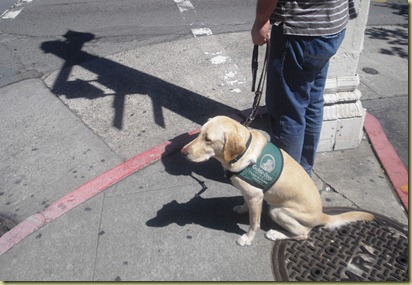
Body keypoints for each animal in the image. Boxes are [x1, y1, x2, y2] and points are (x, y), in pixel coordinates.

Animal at [180, 115, 374, 244]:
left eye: (208, 140)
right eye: (199, 134)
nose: (183, 151)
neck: (243, 153)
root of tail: (322, 215)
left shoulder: (257, 197)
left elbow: (254, 223)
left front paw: (248, 238)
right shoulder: (250, 194)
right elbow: (245, 202)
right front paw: (242, 208)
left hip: (277, 211)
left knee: (303, 234)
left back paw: (276, 234)